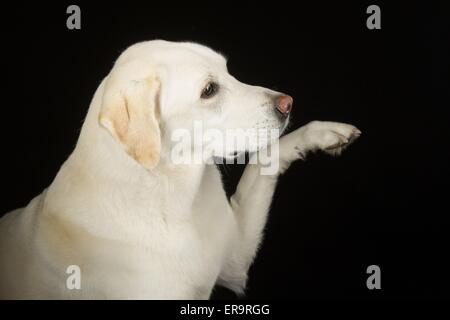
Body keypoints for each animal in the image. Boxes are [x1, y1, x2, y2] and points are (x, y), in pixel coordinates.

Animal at [0, 40, 360, 300]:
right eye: (209, 90)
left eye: (228, 71)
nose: (288, 103)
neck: (172, 199)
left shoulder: (234, 261)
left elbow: (264, 160)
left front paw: (322, 134)